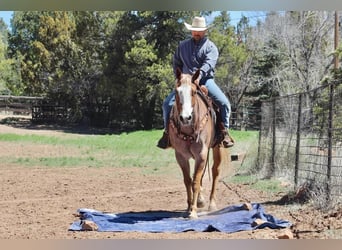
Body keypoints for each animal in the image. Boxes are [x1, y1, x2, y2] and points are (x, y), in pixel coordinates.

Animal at [168, 68, 228, 219]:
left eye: (194, 92)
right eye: (176, 92)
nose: (185, 118)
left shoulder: (201, 154)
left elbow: (195, 181)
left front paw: (193, 211)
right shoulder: (181, 156)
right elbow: (188, 180)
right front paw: (189, 207)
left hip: (217, 148)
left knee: (215, 171)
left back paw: (211, 204)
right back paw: (201, 200)